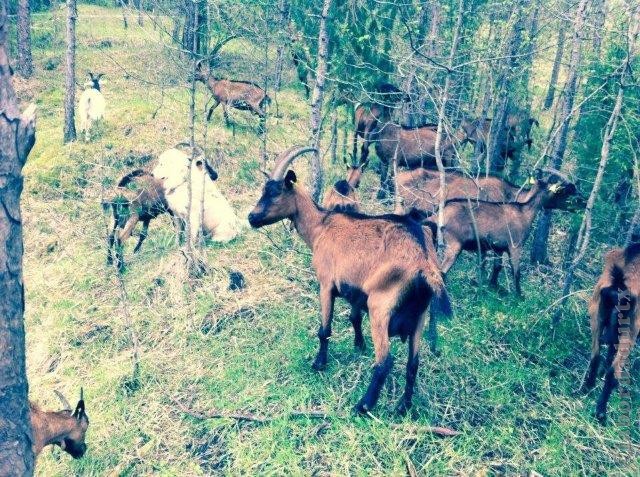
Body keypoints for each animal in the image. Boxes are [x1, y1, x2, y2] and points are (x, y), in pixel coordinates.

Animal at [248, 145, 452, 412]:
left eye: (274, 192)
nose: (251, 218)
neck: (321, 227)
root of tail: (425, 261)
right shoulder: (356, 290)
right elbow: (354, 317)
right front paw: (359, 345)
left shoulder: (326, 284)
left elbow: (324, 329)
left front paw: (319, 363)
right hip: (420, 316)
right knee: (413, 363)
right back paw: (404, 406)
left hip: (380, 307)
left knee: (385, 361)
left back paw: (363, 406)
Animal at [580, 244, 640, 422]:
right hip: (630, 329)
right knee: (613, 371)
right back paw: (601, 412)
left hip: (596, 315)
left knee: (595, 355)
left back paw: (588, 386)